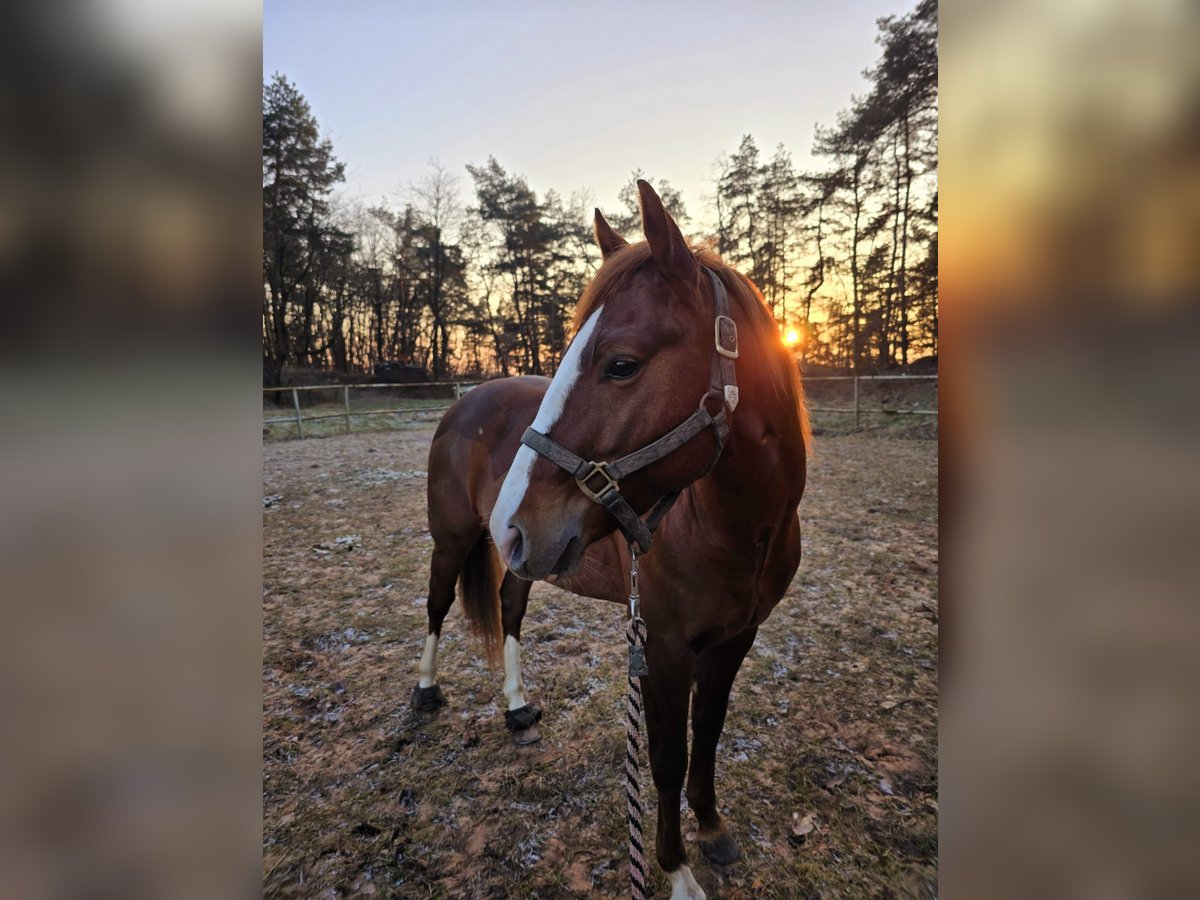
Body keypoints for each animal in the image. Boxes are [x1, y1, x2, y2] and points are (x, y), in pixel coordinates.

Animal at [412, 183, 806, 900]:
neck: (737, 526)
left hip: (522, 562)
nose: (510, 519)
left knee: (508, 611)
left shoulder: (737, 638)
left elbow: (708, 735)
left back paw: (517, 707)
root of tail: (464, 401)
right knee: (435, 604)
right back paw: (425, 692)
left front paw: (713, 830)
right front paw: (677, 871)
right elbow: (667, 758)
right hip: (454, 538)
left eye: (621, 365)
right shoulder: (664, 648)